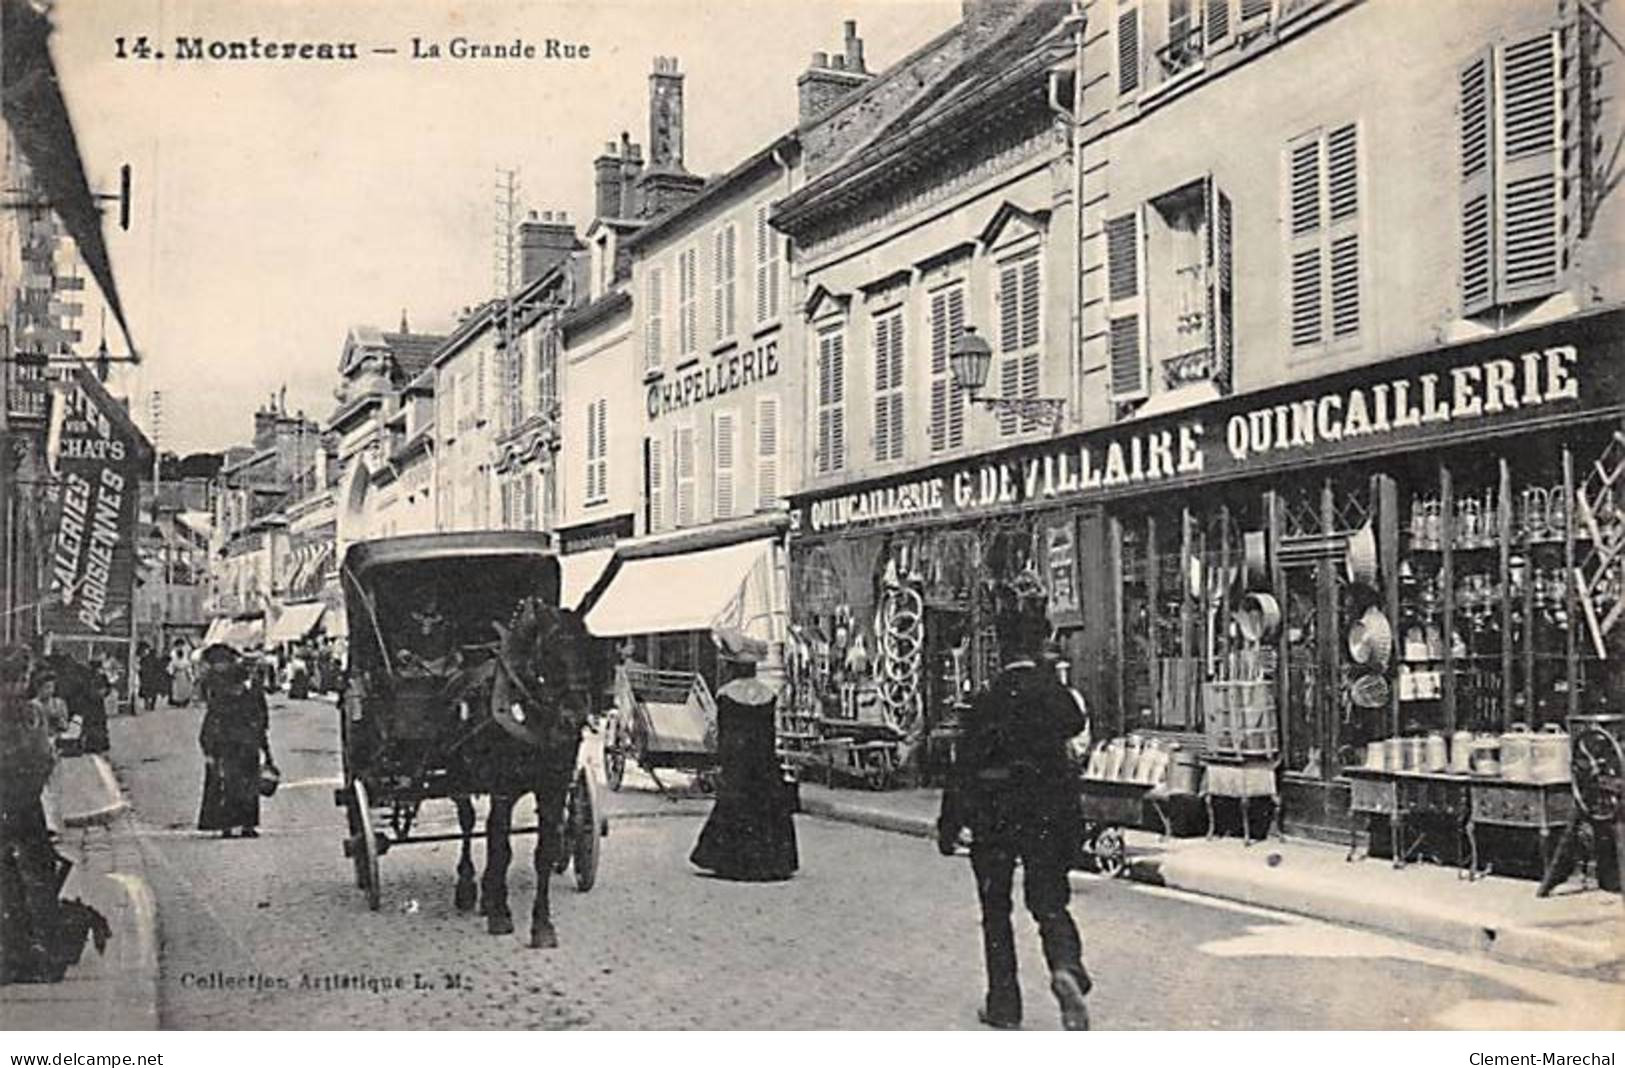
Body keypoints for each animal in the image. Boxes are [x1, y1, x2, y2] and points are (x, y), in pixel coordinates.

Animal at [448, 594, 594, 942]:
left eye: (587, 644)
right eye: (549, 649)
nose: (573, 716)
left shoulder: (553, 790)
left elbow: (543, 852)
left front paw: (542, 924)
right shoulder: (503, 790)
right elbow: (501, 848)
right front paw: (501, 914)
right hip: (459, 779)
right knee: (468, 823)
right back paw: (468, 886)